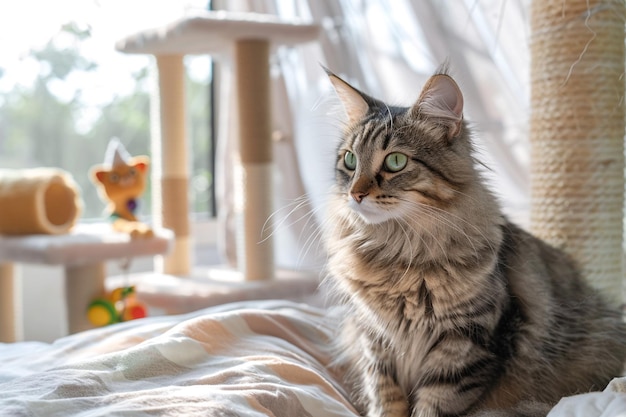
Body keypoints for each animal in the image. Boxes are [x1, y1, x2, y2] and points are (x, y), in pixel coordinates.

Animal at [322, 65, 624, 416]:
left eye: (395, 161)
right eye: (350, 161)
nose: (355, 194)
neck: (398, 251)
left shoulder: (464, 343)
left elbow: (433, 405)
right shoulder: (374, 338)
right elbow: (385, 398)